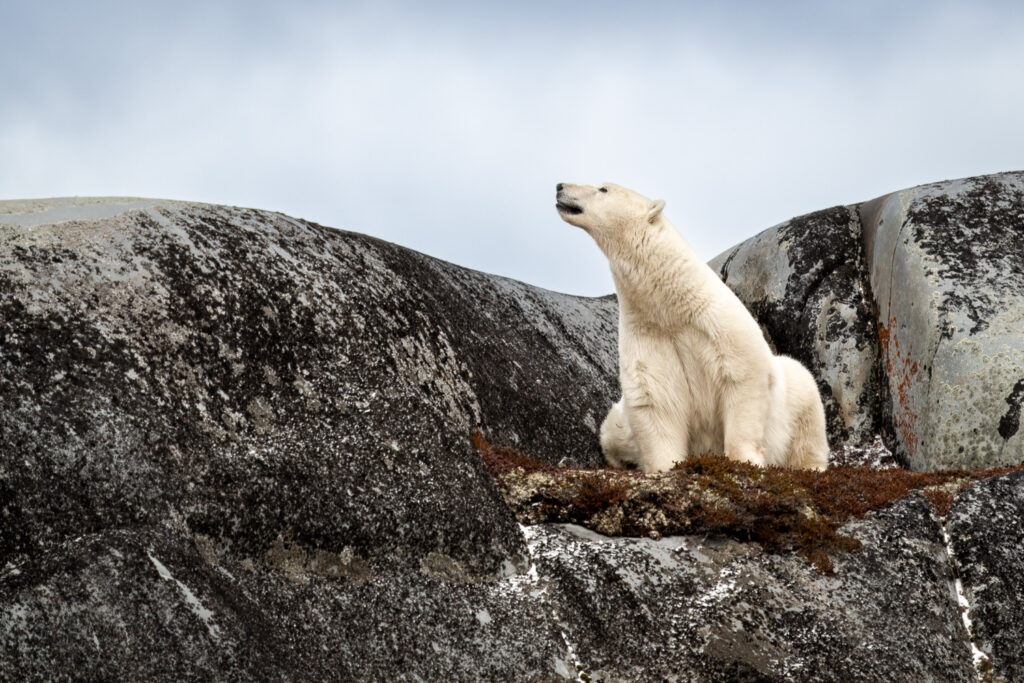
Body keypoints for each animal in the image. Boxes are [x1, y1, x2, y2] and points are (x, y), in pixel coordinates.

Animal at [556, 182, 829, 472]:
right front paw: (665, 467)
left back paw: (810, 466)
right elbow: (656, 399)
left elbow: (743, 378)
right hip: (617, 422)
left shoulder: (719, 325)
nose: (560, 186)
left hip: (796, 397)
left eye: (603, 188)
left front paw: (743, 459)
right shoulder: (650, 337)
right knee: (612, 431)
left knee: (807, 413)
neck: (672, 309)